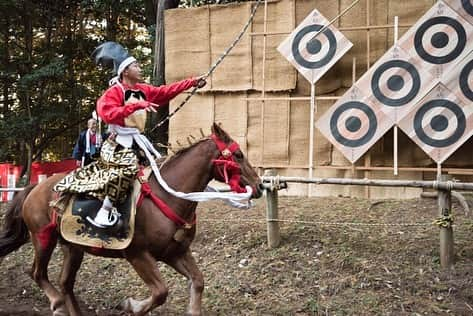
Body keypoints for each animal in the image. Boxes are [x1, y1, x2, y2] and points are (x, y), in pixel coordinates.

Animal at [0, 123, 262, 316]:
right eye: (238, 155)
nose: (259, 186)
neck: (166, 196)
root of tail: (34, 188)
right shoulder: (137, 254)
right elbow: (160, 292)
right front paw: (131, 305)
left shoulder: (174, 252)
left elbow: (197, 281)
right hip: (42, 237)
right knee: (37, 273)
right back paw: (57, 304)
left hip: (73, 247)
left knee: (65, 283)